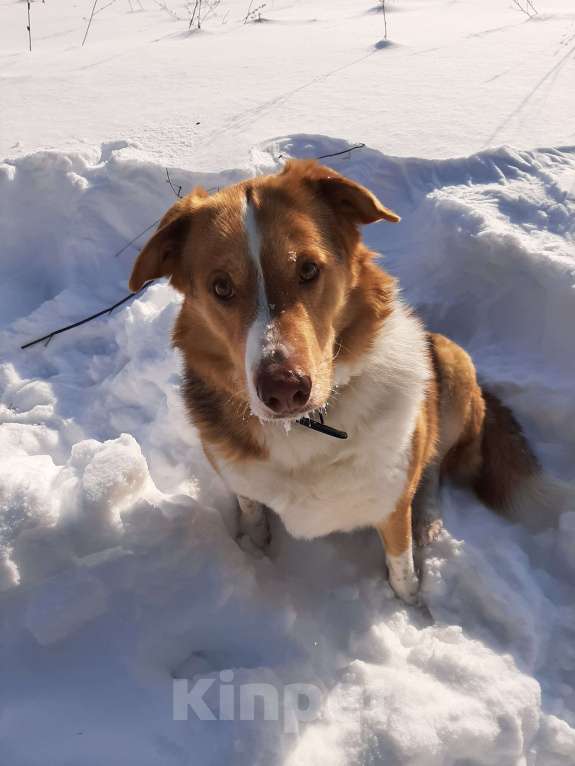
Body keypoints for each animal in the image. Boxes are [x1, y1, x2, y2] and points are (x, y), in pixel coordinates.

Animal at [129, 160, 544, 608]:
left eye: (308, 269)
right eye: (220, 286)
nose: (283, 390)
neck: (308, 426)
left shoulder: (392, 505)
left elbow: (401, 569)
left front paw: (413, 607)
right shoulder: (240, 481)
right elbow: (253, 514)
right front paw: (254, 548)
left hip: (452, 364)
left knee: (433, 467)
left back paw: (428, 522)